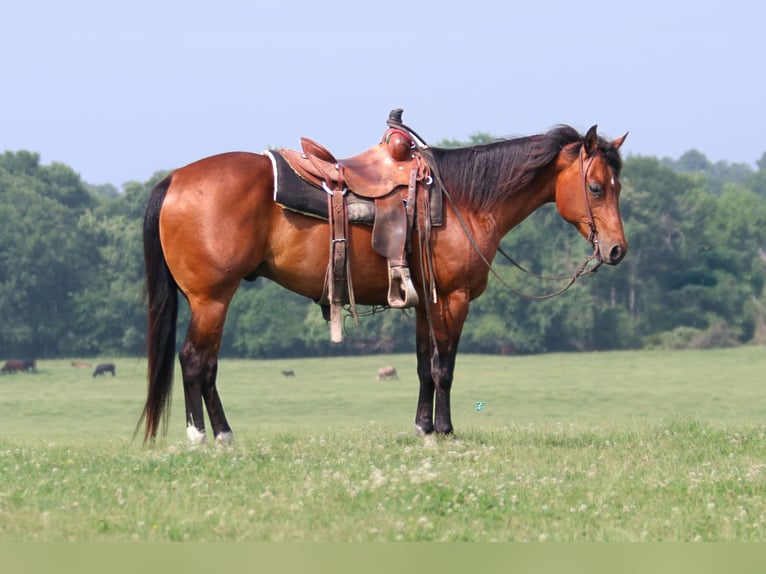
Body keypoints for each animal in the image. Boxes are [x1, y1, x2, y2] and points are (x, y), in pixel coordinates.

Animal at [138, 119, 632, 448]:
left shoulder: (425, 303)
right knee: (196, 361)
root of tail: (175, 179)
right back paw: (206, 436)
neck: (465, 200)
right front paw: (446, 432)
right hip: (212, 299)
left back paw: (220, 434)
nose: (616, 250)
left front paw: (423, 429)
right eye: (596, 187)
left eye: (618, 186)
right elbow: (444, 368)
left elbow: (423, 367)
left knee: (204, 364)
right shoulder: (452, 300)